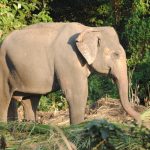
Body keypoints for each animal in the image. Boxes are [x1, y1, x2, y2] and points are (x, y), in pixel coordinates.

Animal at [0, 21, 142, 123]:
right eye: (116, 54)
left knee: (29, 99)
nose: (137, 123)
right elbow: (77, 94)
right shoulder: (69, 60)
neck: (89, 29)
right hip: (3, 66)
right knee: (5, 98)